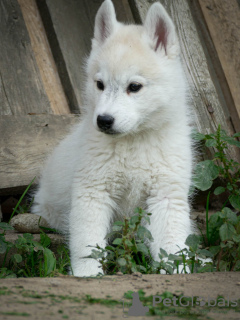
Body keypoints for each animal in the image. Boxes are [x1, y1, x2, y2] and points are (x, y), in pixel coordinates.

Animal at [31, 0, 193, 276]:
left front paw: (178, 272)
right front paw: (87, 275)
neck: (134, 141)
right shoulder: (93, 191)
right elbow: (87, 244)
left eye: (134, 87)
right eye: (100, 84)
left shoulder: (166, 195)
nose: (103, 120)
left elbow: (171, 246)